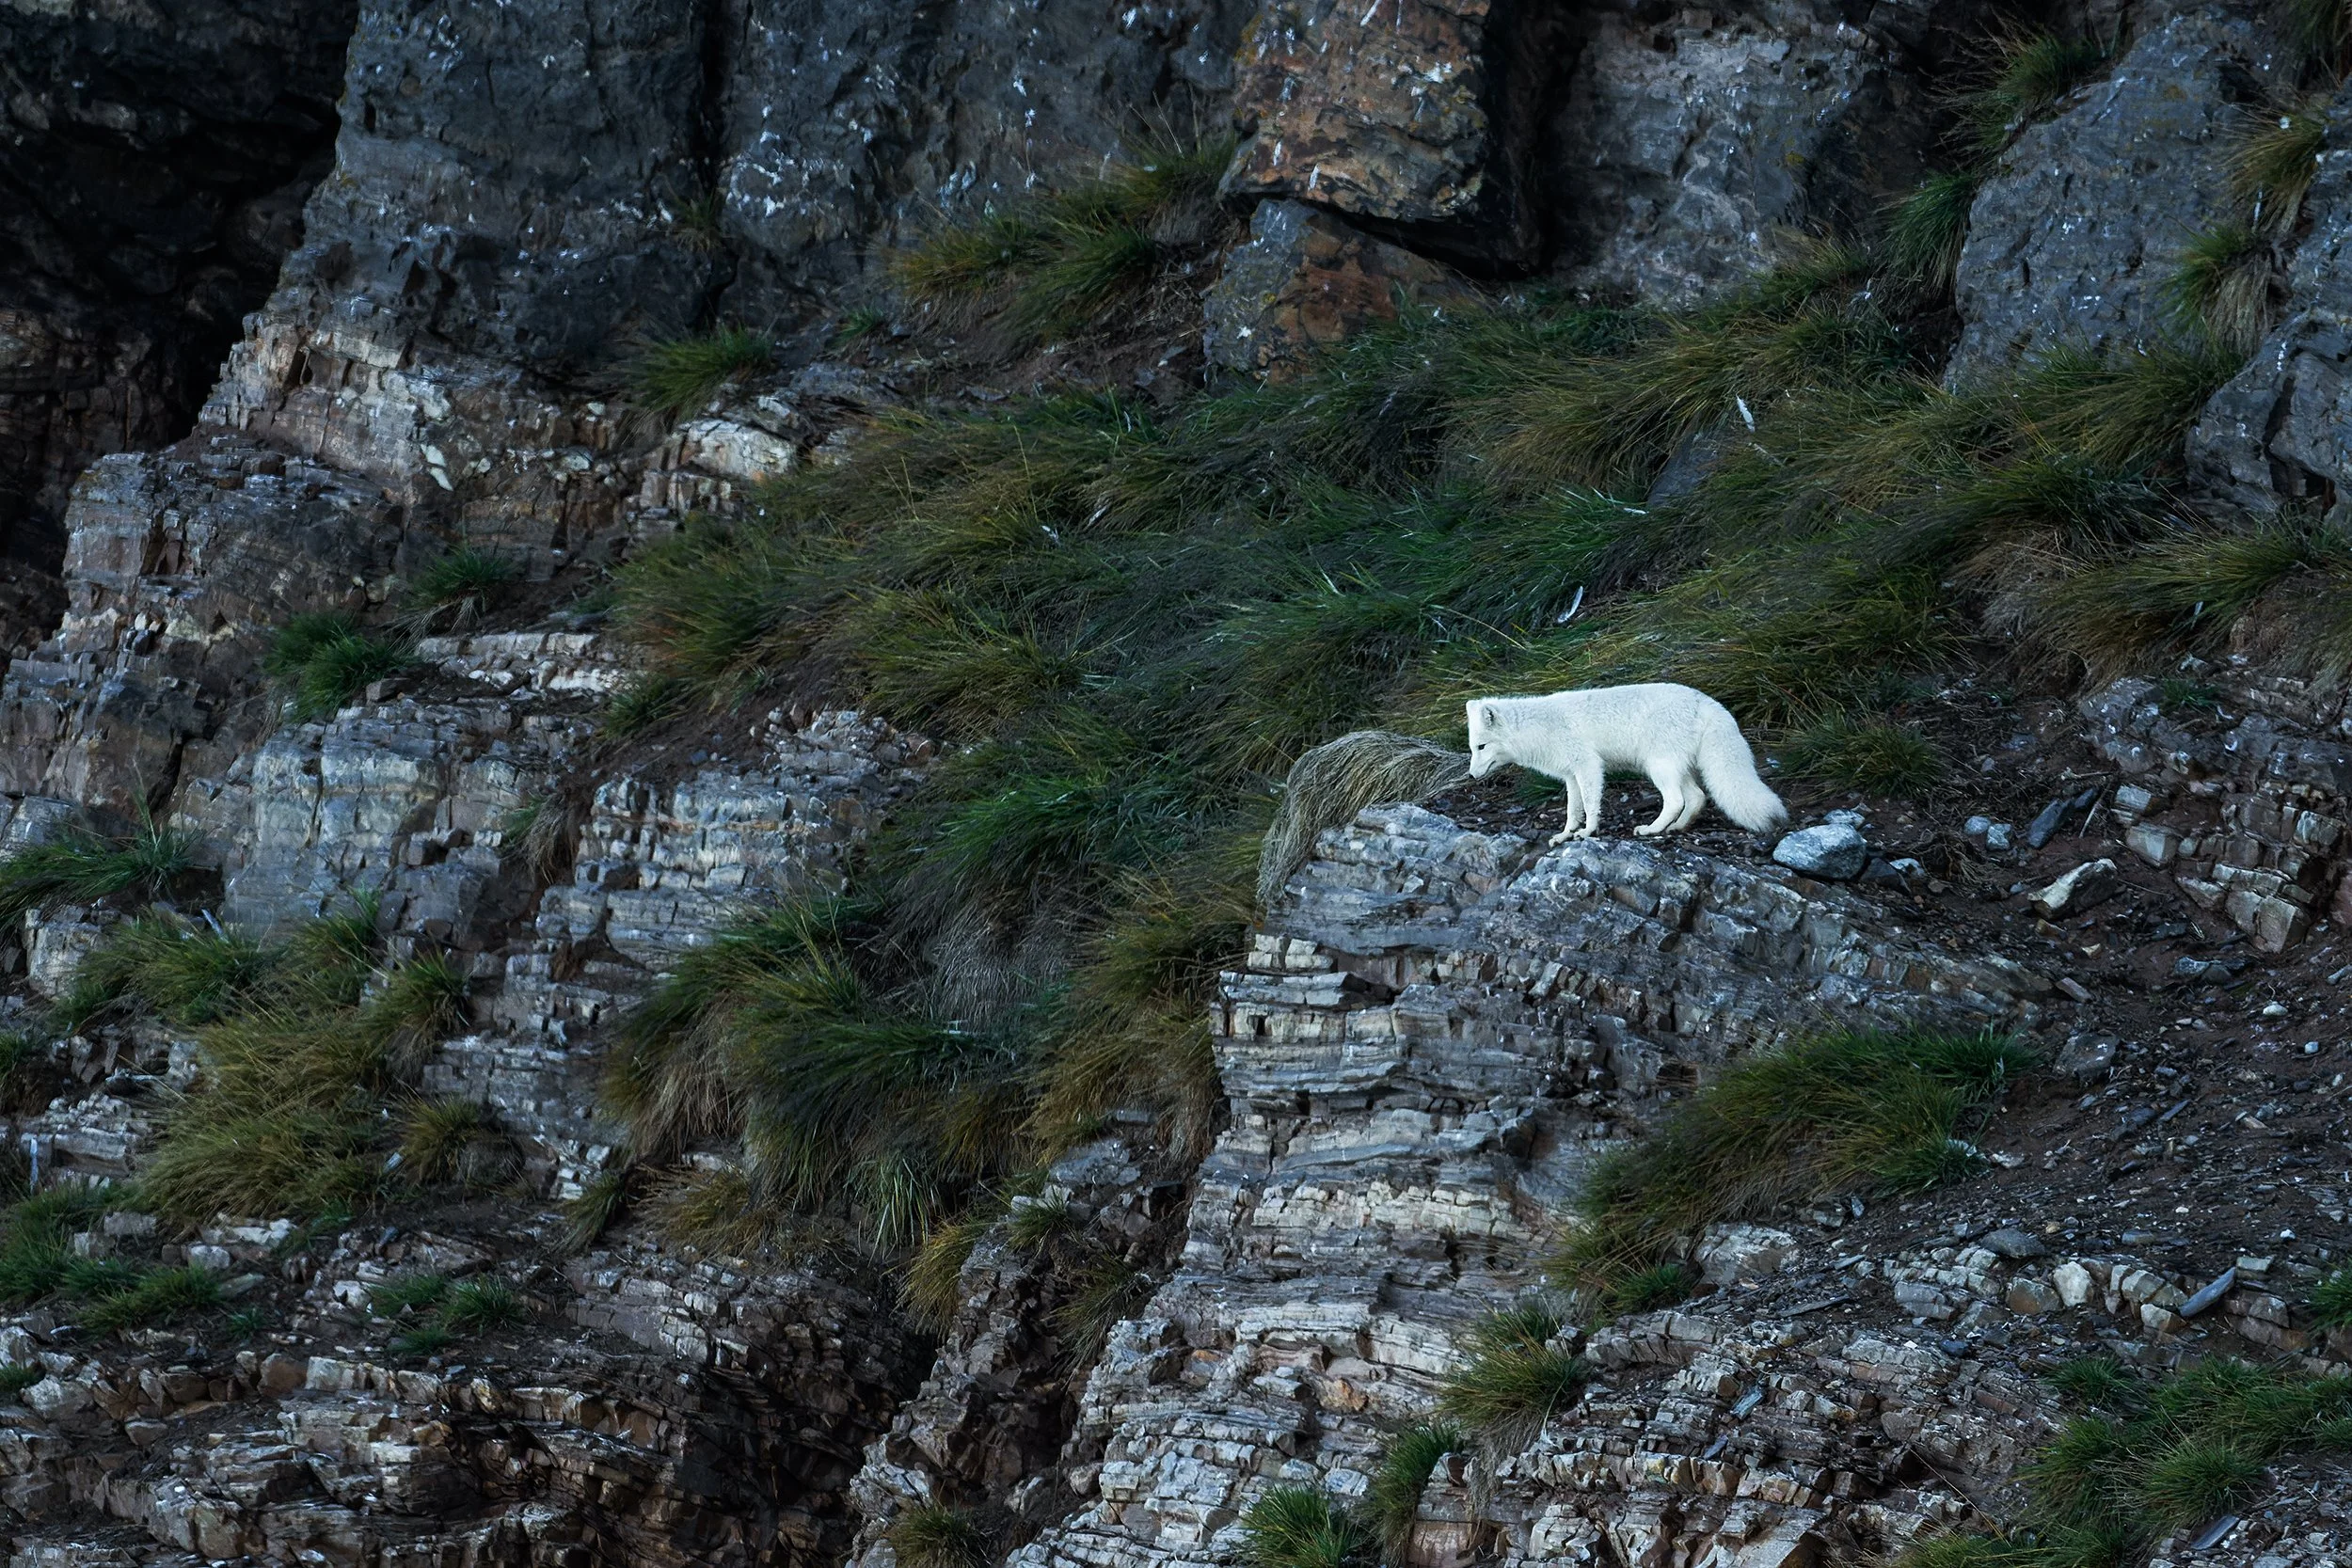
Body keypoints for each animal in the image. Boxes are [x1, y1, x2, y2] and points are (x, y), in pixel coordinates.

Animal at [1465, 682, 1788, 846]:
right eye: (1472, 748)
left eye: (1482, 747)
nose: (1470, 775)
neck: (1540, 728)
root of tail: (1709, 703)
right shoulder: (1571, 775)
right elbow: (1572, 810)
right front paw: (1566, 834)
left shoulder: (1588, 766)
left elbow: (1591, 805)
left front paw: (1588, 832)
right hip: (1676, 767)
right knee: (1697, 797)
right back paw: (1676, 828)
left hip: (1658, 766)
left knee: (1676, 800)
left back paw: (1650, 829)